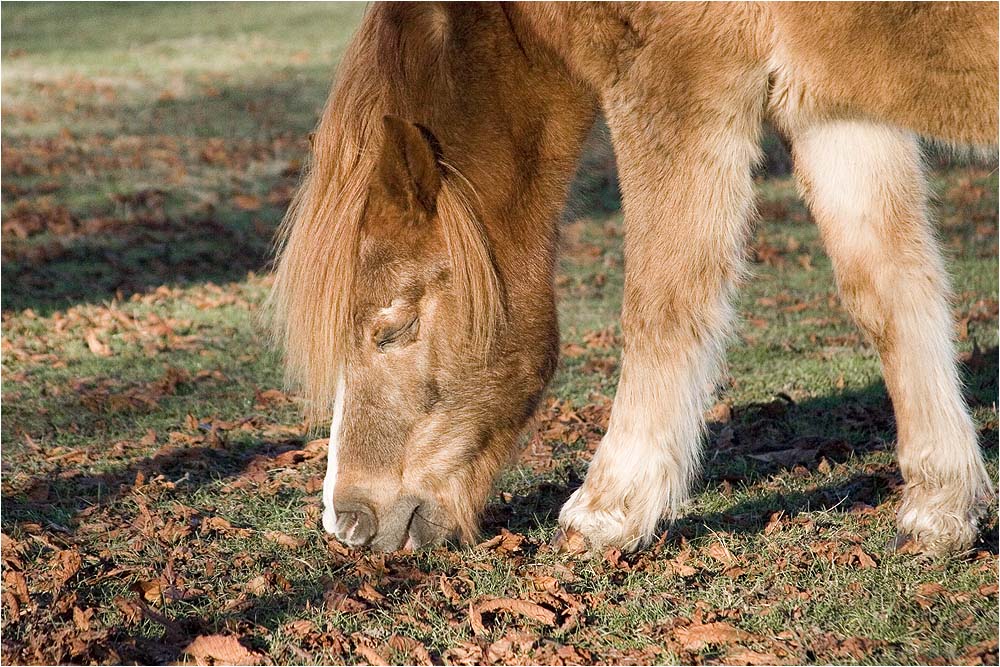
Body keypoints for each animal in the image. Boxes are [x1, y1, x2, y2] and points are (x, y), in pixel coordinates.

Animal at [270, 2, 996, 556]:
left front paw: (606, 510)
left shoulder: (676, 83)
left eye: (393, 327)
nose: (347, 522)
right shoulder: (831, 105)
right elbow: (891, 290)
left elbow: (663, 302)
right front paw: (939, 509)